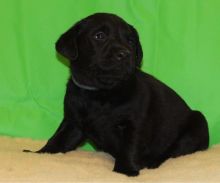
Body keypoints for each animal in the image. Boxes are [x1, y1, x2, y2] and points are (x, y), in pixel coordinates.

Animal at [25, 12, 208, 176]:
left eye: (131, 41)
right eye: (99, 36)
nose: (125, 54)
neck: (101, 93)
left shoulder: (134, 124)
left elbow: (130, 147)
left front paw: (125, 171)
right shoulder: (73, 123)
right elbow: (57, 140)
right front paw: (38, 154)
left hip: (196, 125)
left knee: (172, 152)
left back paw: (151, 162)